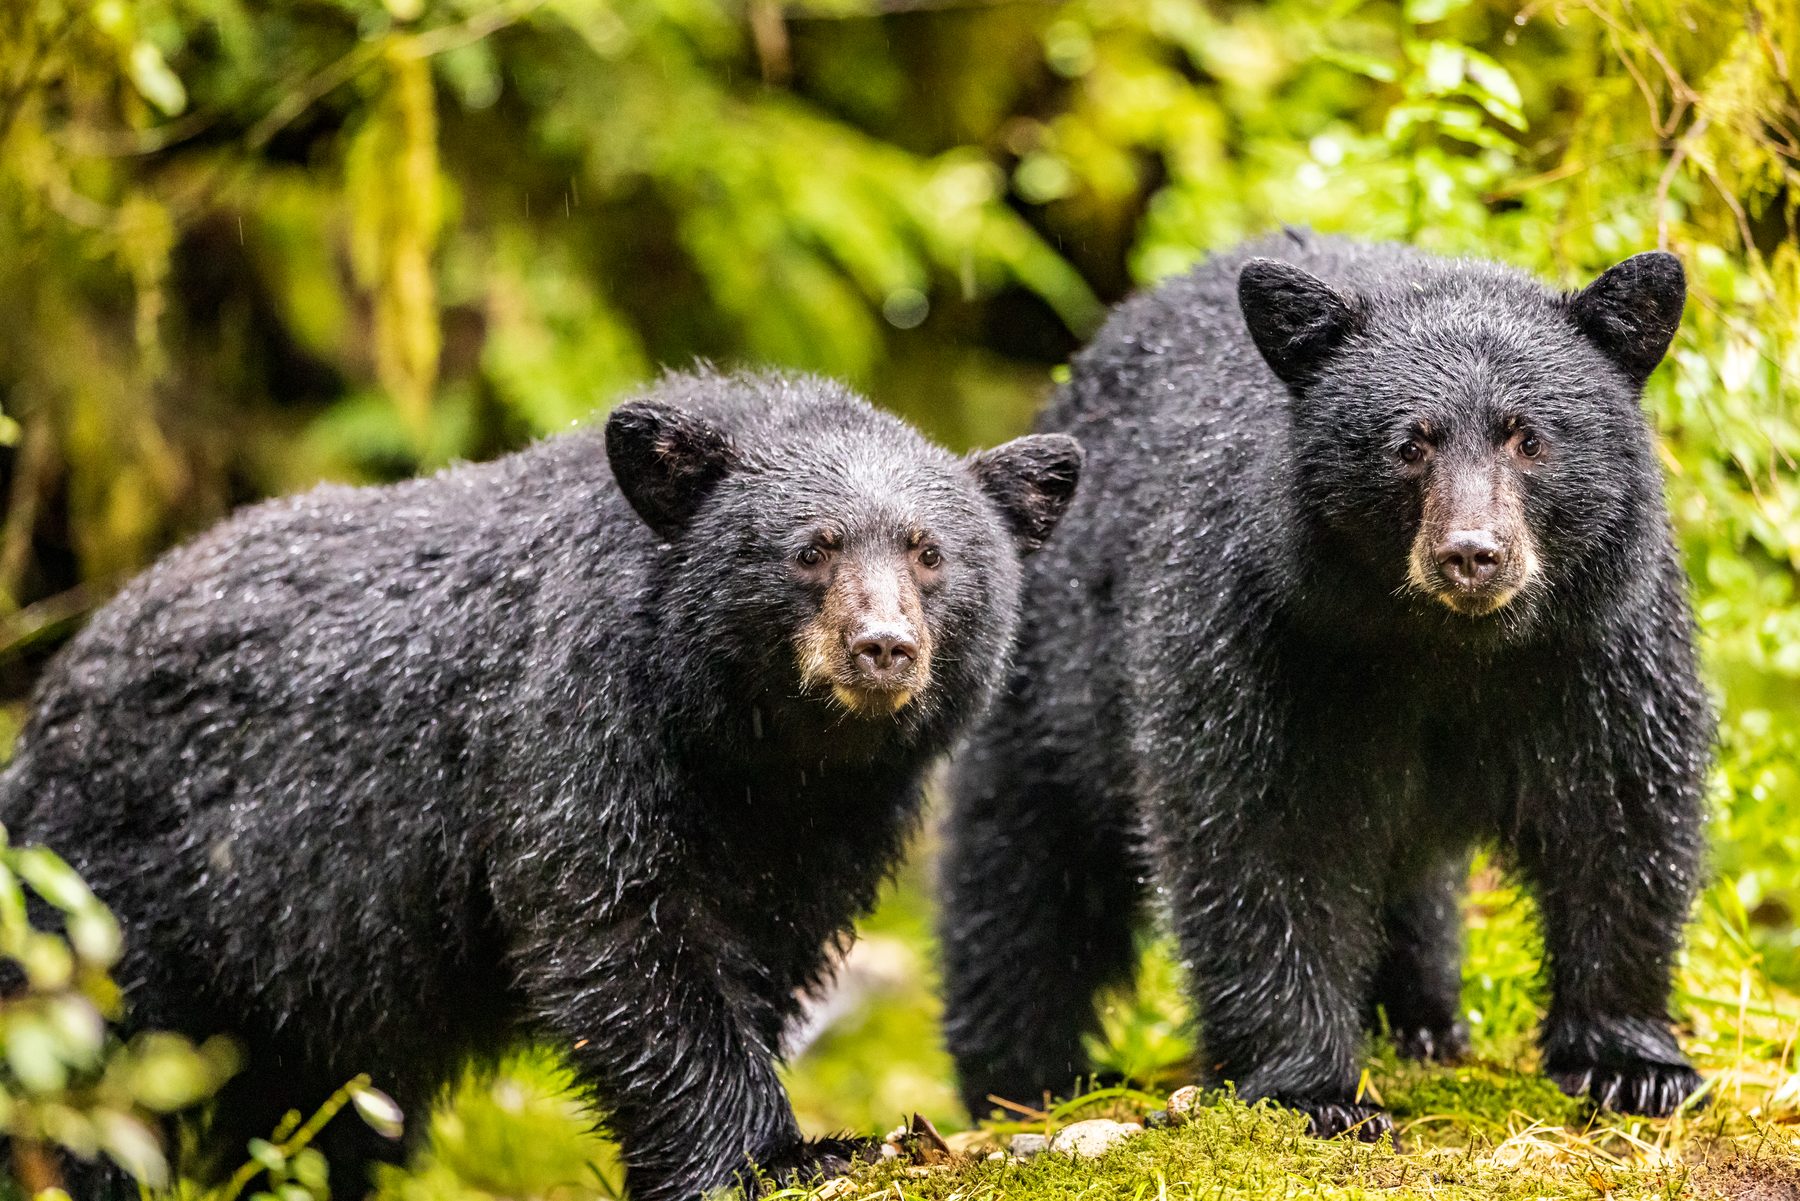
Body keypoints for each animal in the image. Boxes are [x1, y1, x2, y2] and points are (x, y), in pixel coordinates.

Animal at [0, 370, 1082, 1199]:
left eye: (931, 553)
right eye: (810, 549)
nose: (883, 648)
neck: (757, 753)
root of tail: (54, 686)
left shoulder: (827, 831)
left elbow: (764, 957)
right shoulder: (578, 732)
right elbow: (625, 942)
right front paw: (777, 1154)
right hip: (114, 903)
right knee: (95, 1075)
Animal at [937, 231, 1710, 1141]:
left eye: (1529, 438)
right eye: (1410, 444)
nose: (1472, 554)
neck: (1448, 647)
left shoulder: (1599, 645)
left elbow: (1619, 816)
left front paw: (1632, 1063)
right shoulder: (1270, 643)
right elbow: (1264, 840)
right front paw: (1315, 1090)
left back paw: (1419, 1020)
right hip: (1051, 675)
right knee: (1023, 871)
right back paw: (1022, 1077)